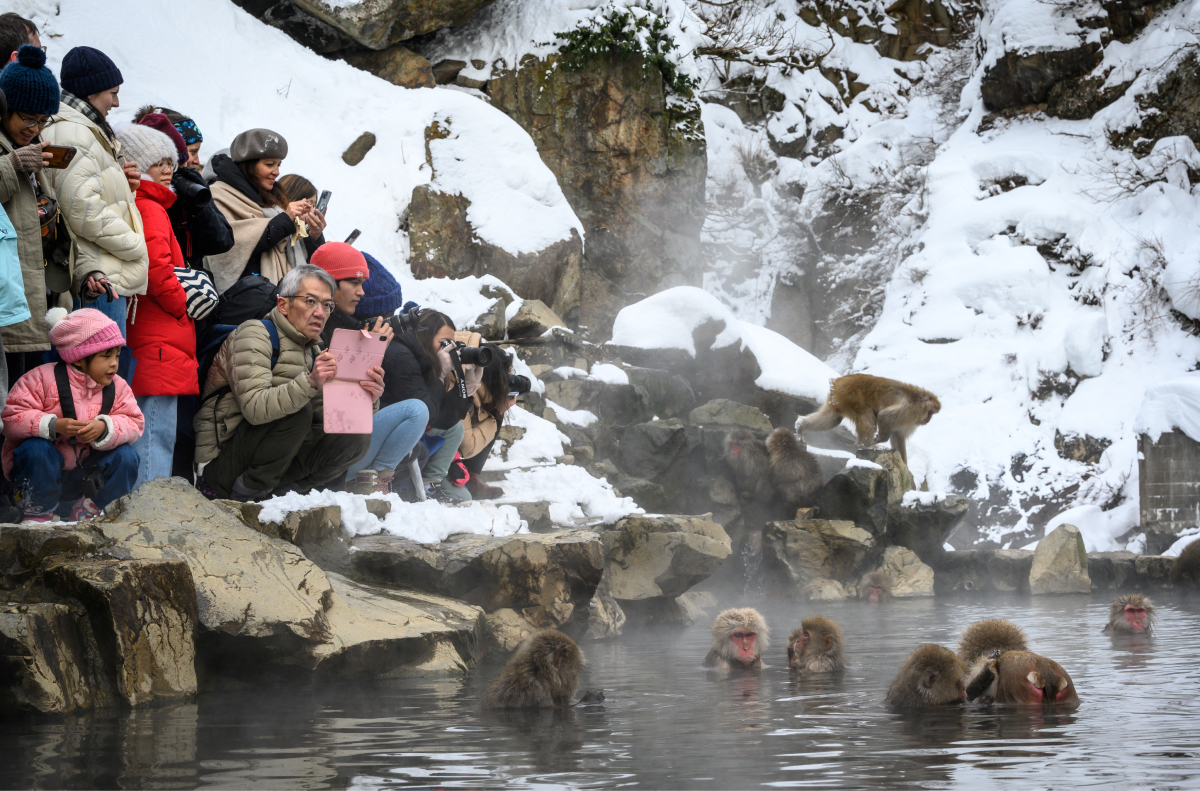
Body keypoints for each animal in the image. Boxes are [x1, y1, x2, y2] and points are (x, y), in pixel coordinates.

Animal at [798, 373, 941, 464]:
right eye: (931, 413)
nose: (928, 420)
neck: (917, 401)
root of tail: (838, 381)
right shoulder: (908, 409)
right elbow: (885, 416)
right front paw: (880, 438)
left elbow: (898, 437)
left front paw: (905, 465)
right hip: (851, 395)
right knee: (867, 415)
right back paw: (867, 445)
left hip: (839, 399)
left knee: (833, 418)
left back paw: (800, 425)